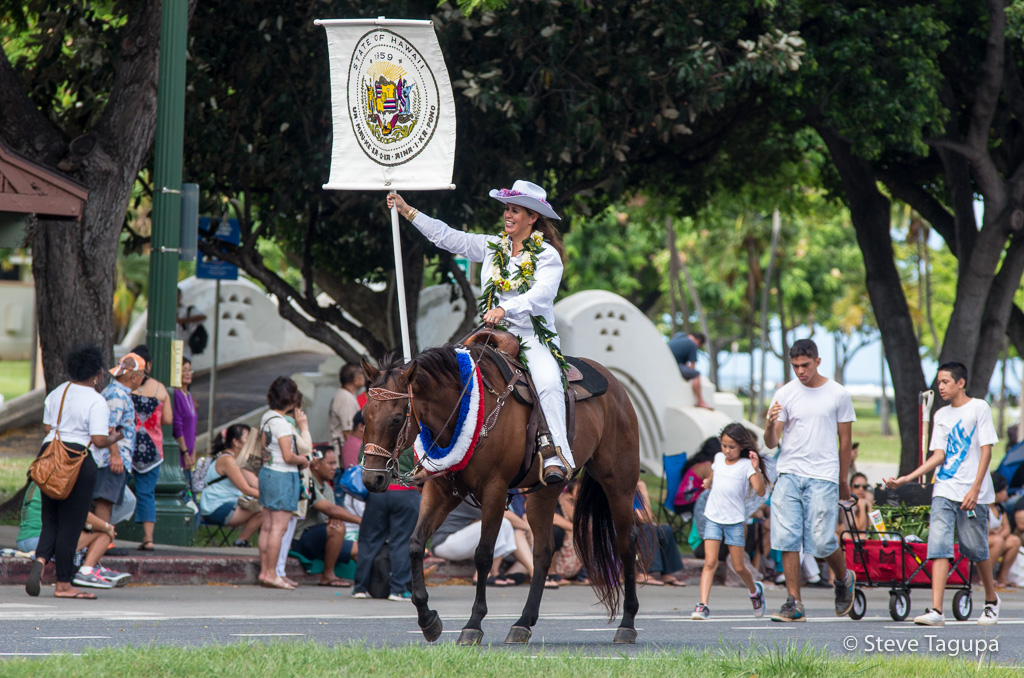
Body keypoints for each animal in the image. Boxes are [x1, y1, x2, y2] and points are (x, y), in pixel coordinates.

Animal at [364, 346, 643, 647]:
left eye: (395, 419)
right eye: (365, 416)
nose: (371, 479)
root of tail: (614, 383)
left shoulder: (494, 491)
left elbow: (484, 555)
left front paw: (473, 625)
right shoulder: (441, 490)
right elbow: (415, 544)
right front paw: (428, 620)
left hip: (619, 485)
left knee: (626, 544)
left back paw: (627, 623)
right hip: (544, 493)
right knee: (543, 550)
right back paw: (523, 622)